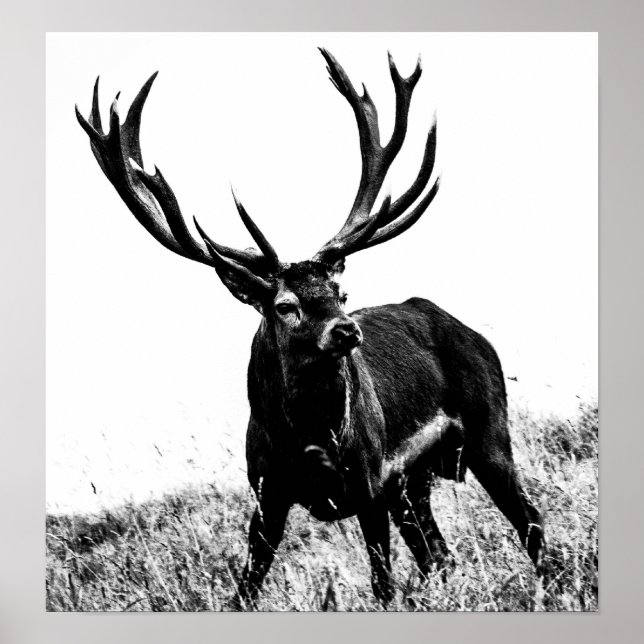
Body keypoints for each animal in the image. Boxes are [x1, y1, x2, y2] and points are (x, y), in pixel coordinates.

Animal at [76, 49, 546, 608]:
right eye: (284, 306)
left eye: (341, 293)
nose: (346, 331)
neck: (306, 438)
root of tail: (472, 333)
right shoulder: (267, 492)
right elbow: (246, 588)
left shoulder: (368, 481)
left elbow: (382, 585)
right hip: (414, 482)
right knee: (439, 554)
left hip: (486, 428)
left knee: (529, 522)